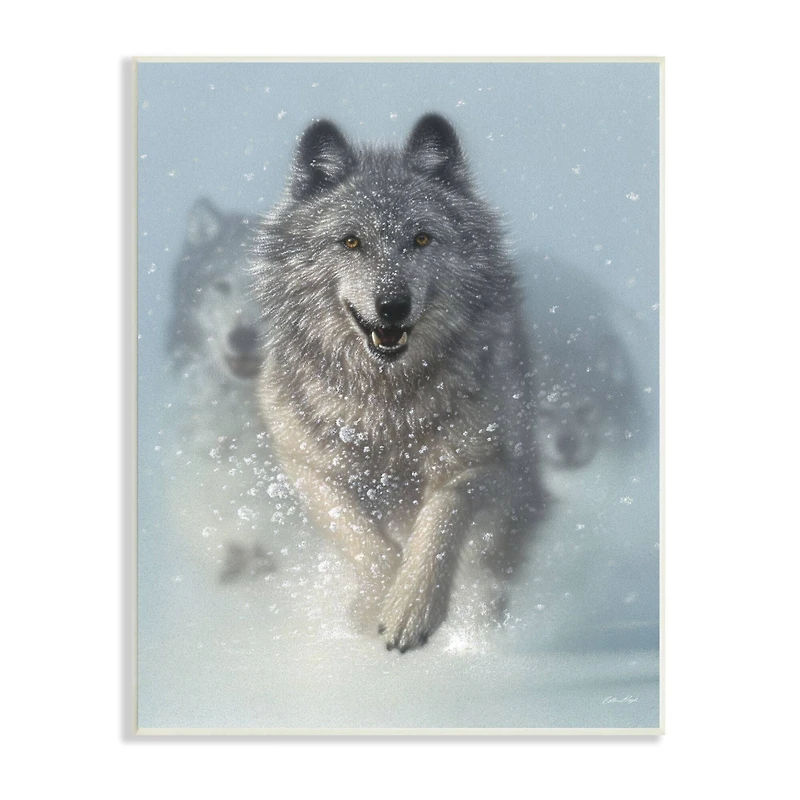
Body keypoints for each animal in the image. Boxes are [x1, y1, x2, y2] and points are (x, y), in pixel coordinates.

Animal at [252, 115, 543, 652]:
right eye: (351, 242)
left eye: (421, 239)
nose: (392, 305)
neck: (387, 406)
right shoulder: (307, 468)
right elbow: (362, 538)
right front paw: (377, 601)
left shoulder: (486, 463)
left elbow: (442, 517)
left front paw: (412, 607)